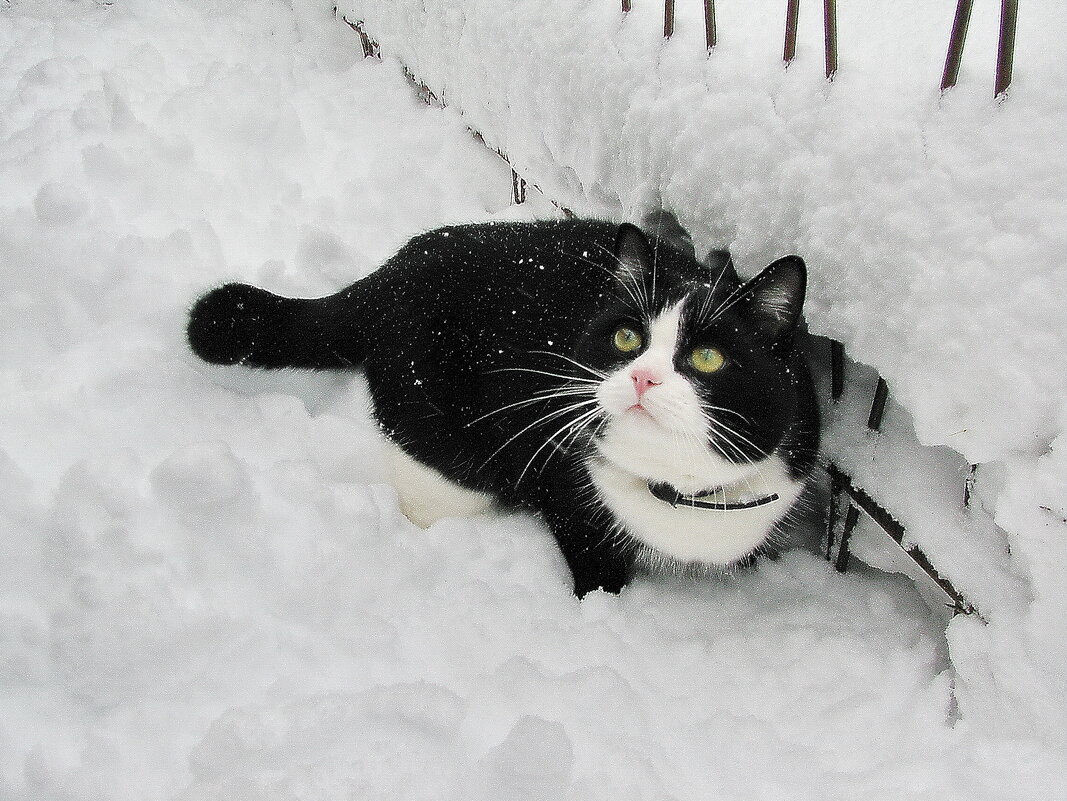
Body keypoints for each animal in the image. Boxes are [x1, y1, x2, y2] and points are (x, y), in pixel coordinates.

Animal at [187, 216, 819, 597]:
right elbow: (597, 569)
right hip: (442, 444)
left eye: (708, 357)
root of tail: (389, 276)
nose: (641, 377)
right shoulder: (571, 495)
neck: (679, 491)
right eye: (626, 339)